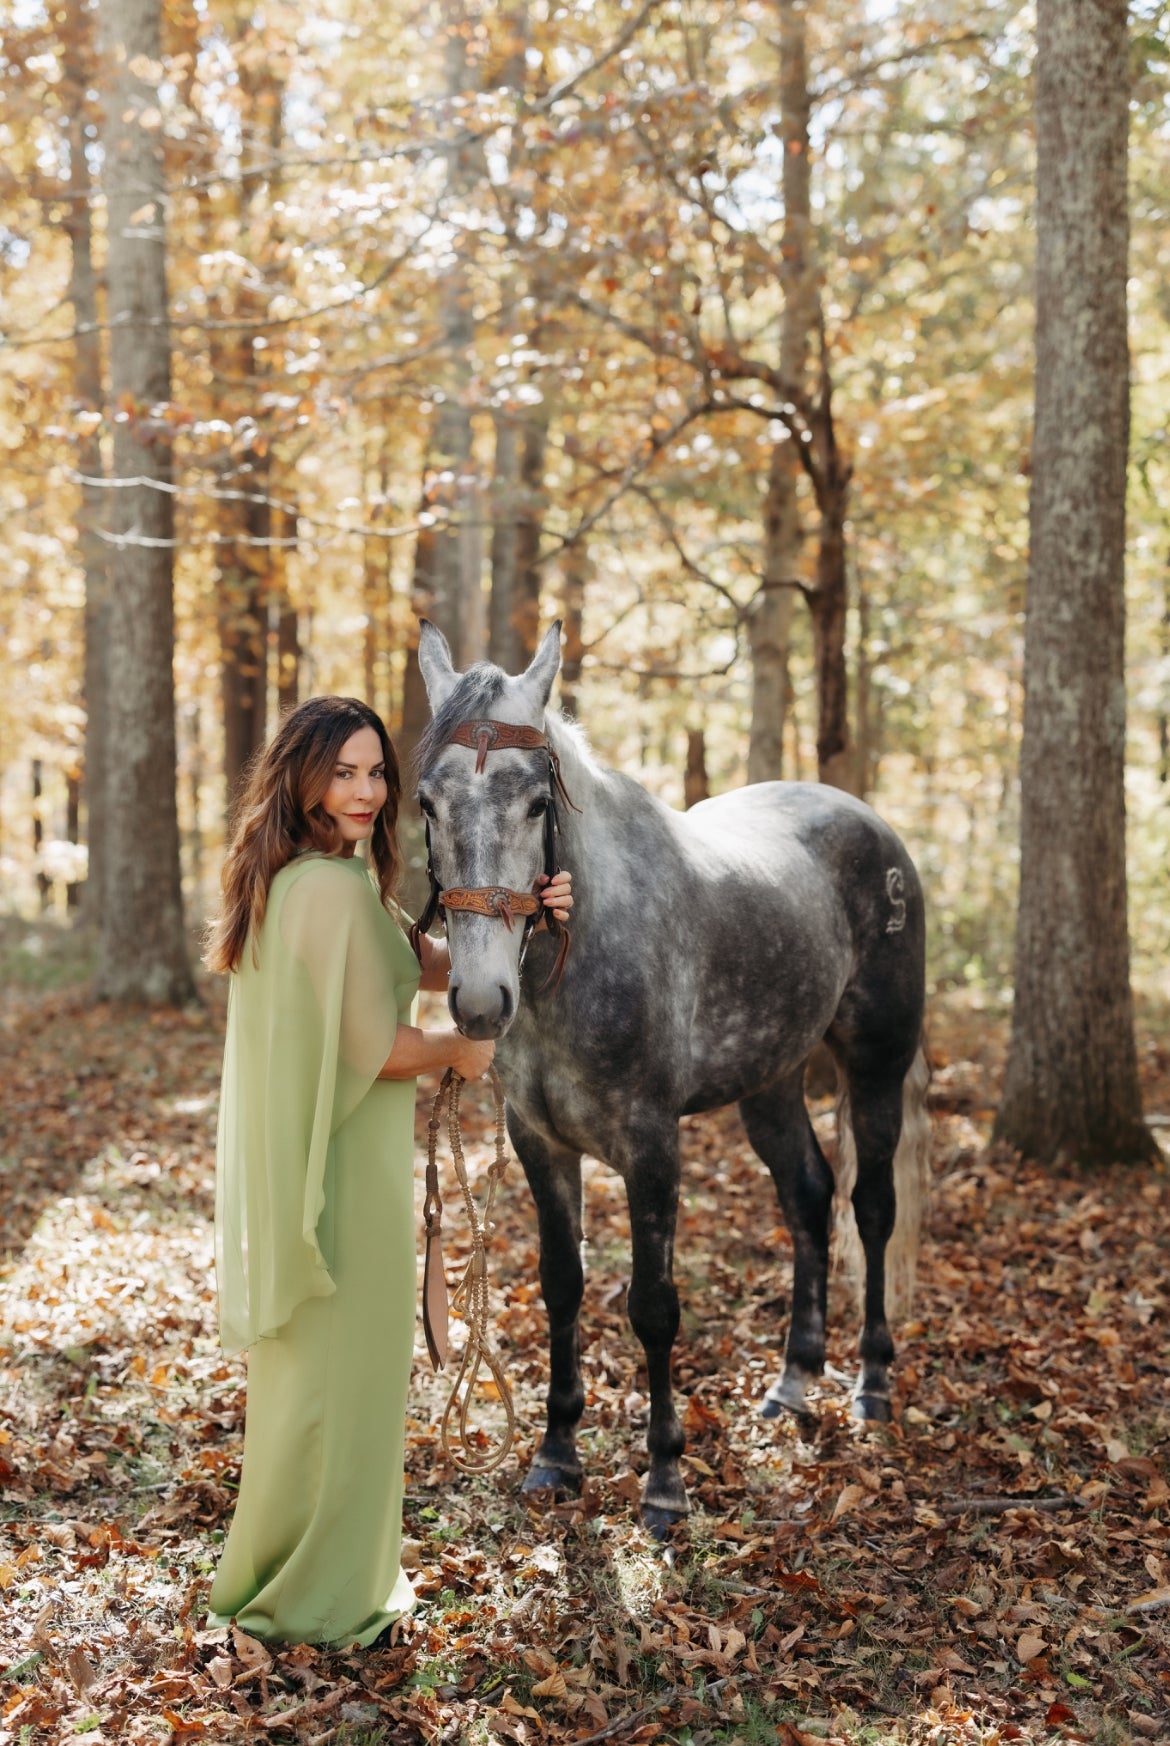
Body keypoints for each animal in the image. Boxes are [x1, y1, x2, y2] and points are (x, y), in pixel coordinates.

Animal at [417, 621, 929, 1536]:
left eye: (537, 805)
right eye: (427, 805)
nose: (479, 1001)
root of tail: (873, 825)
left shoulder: (651, 1148)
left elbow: (653, 1307)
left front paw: (662, 1482)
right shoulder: (541, 1143)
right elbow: (562, 1287)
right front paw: (557, 1454)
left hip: (877, 1068)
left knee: (869, 1208)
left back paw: (871, 1385)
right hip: (771, 1083)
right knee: (808, 1198)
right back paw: (793, 1384)